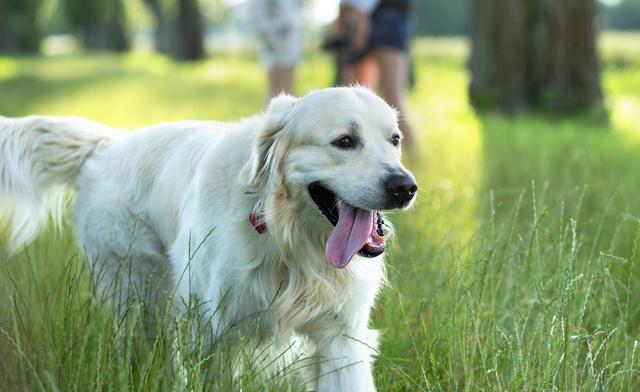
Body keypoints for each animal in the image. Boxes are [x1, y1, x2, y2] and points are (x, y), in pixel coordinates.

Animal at [0, 87, 418, 390]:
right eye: (345, 141)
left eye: (394, 140)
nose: (405, 187)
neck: (285, 240)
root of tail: (107, 143)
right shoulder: (213, 335)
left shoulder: (341, 339)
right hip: (138, 295)